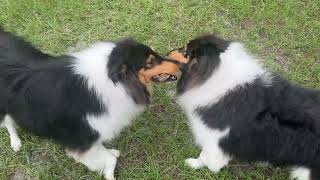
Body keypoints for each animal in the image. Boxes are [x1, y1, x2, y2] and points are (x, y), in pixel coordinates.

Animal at [0, 27, 180, 179]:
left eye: (155, 53)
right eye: (149, 62)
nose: (180, 63)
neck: (115, 81)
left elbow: (104, 151)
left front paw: (109, 154)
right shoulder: (82, 139)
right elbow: (108, 159)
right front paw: (108, 173)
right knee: (8, 122)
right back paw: (15, 142)